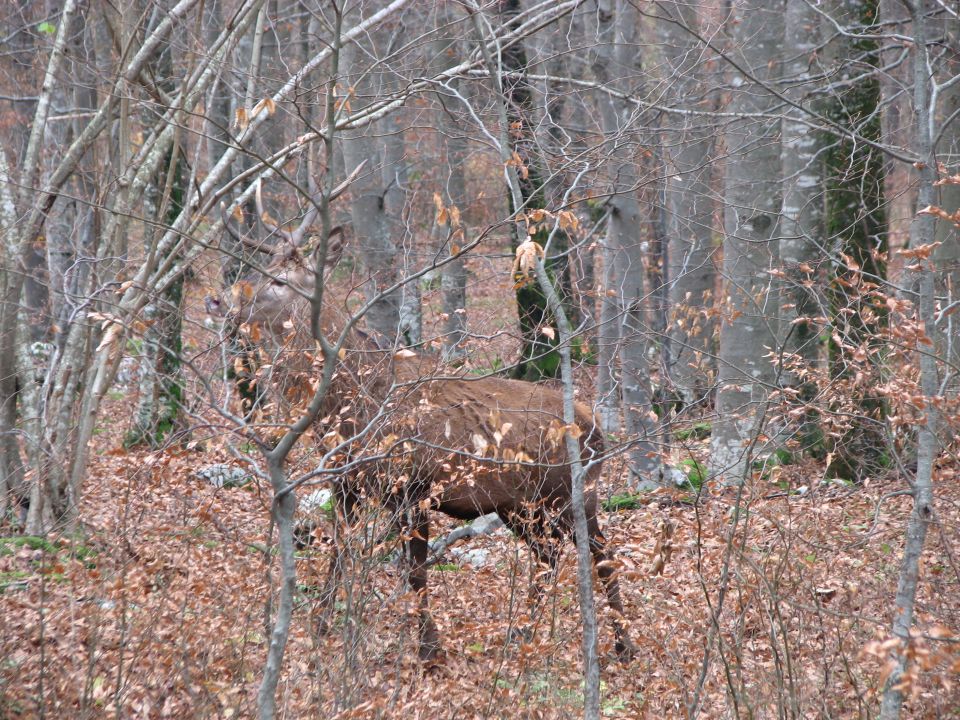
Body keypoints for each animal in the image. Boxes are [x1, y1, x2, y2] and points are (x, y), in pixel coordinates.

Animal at [208, 176, 636, 664]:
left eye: (278, 279)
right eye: (262, 269)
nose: (219, 301)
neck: (353, 406)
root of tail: (594, 426)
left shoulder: (412, 488)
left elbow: (414, 572)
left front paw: (430, 651)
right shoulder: (346, 482)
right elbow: (340, 551)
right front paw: (322, 630)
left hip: (575, 492)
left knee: (600, 552)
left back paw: (623, 645)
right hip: (519, 505)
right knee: (548, 554)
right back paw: (524, 635)